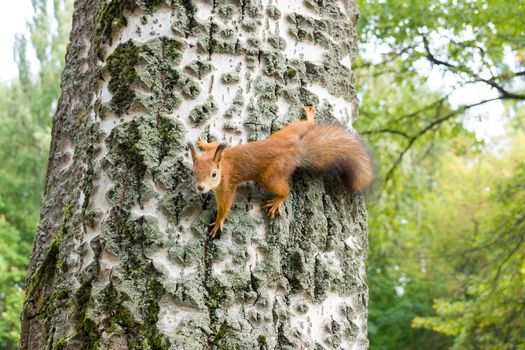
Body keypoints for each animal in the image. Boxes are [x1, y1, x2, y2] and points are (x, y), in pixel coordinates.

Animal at [187, 106, 372, 238]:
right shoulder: (216, 152)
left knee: (285, 190)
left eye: (213, 174)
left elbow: (225, 206)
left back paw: (277, 201)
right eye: (193, 172)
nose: (200, 188)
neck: (222, 164)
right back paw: (309, 117)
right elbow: (212, 145)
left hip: (270, 175)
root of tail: (295, 150)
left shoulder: (225, 186)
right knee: (304, 125)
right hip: (289, 132)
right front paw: (203, 143)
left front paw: (218, 222)